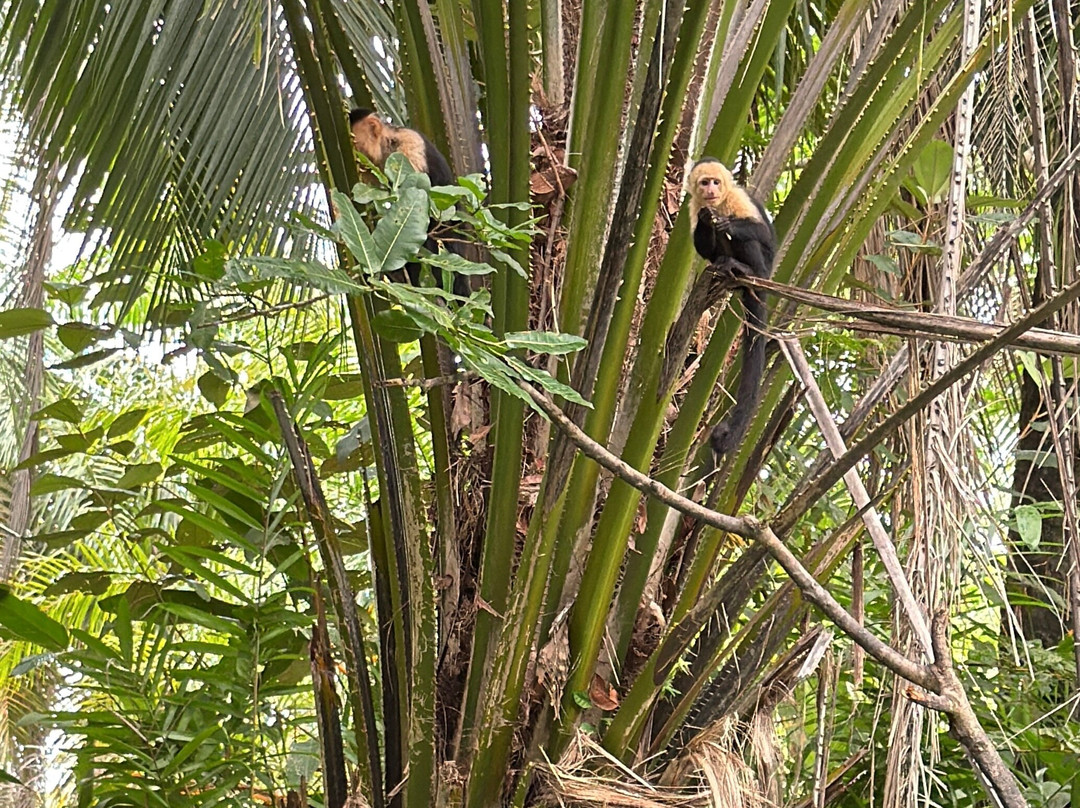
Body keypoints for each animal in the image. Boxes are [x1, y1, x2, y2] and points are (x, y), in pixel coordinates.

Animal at [687, 157, 776, 462]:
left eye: (716, 182)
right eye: (704, 183)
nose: (711, 190)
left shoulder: (737, 198)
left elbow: (762, 234)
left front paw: (729, 223)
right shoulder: (693, 205)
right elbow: (703, 245)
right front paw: (707, 221)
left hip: (766, 270)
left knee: (750, 241)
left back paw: (746, 269)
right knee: (716, 252)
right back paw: (725, 265)